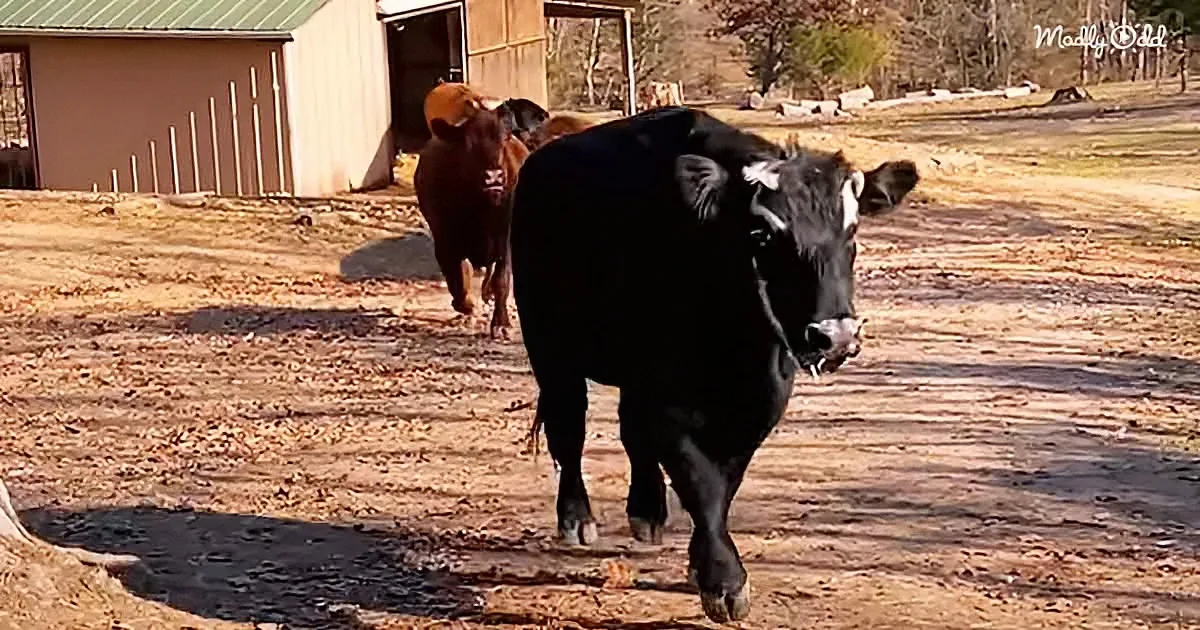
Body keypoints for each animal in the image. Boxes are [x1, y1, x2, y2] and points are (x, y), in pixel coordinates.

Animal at [414, 100, 531, 339]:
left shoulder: (505, 238)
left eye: (504, 139)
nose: (494, 177)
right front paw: (467, 305)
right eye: (468, 143)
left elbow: (502, 280)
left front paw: (501, 324)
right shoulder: (445, 239)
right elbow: (457, 278)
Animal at [509, 107, 918, 623]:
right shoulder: (666, 401)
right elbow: (698, 480)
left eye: (853, 231)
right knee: (569, 426)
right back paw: (577, 517)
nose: (835, 336)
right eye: (763, 235)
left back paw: (648, 510)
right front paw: (724, 580)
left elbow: (724, 482)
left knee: (629, 429)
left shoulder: (760, 402)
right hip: (550, 346)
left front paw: (700, 562)